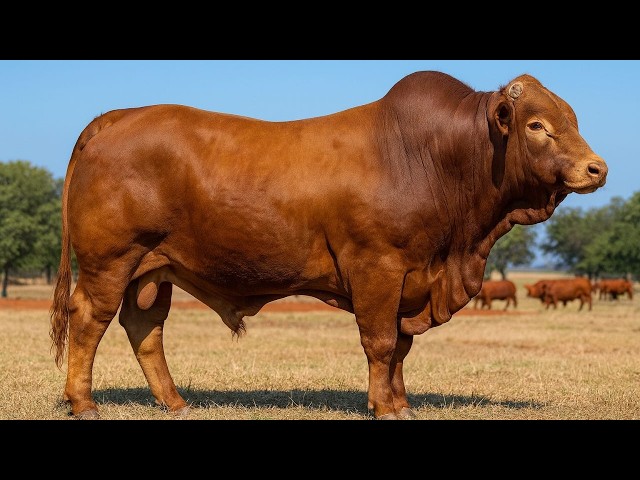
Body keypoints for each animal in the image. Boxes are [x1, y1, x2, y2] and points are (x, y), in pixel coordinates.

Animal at [49, 70, 607, 420]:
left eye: (574, 120)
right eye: (537, 125)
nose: (596, 168)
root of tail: (118, 116)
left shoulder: (409, 280)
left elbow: (400, 346)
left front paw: (401, 402)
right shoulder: (378, 267)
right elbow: (380, 342)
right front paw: (383, 407)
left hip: (152, 268)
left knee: (145, 328)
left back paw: (175, 402)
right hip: (110, 261)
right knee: (89, 320)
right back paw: (84, 403)